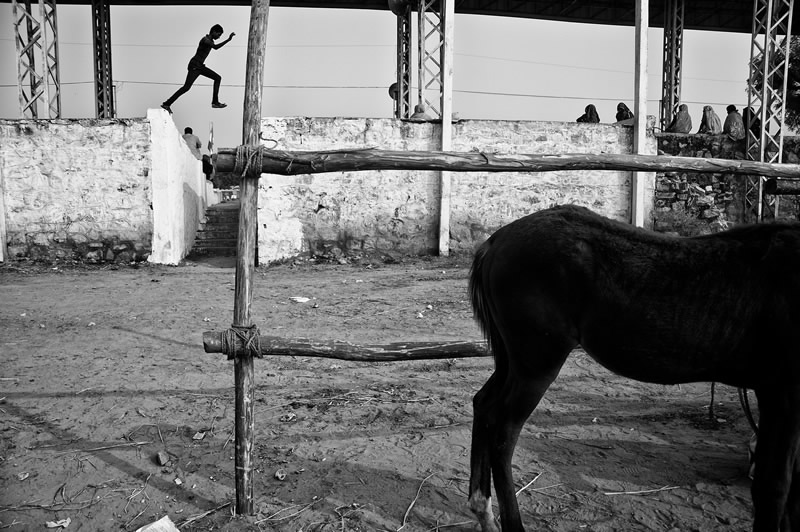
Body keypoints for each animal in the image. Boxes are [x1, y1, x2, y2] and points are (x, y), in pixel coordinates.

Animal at [468, 205, 800, 532]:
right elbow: (774, 486)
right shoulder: (781, 395)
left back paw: (483, 511)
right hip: (537, 366)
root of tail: (496, 241)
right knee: (504, 433)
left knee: (483, 404)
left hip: (513, 361)